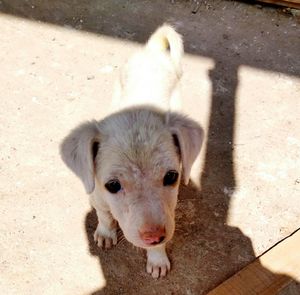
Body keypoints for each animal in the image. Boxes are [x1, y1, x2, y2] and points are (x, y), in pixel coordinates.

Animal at [60, 24, 204, 278]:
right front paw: (105, 233)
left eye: (172, 177)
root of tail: (152, 50)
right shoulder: (97, 196)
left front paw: (157, 259)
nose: (154, 236)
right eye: (112, 185)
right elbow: (105, 216)